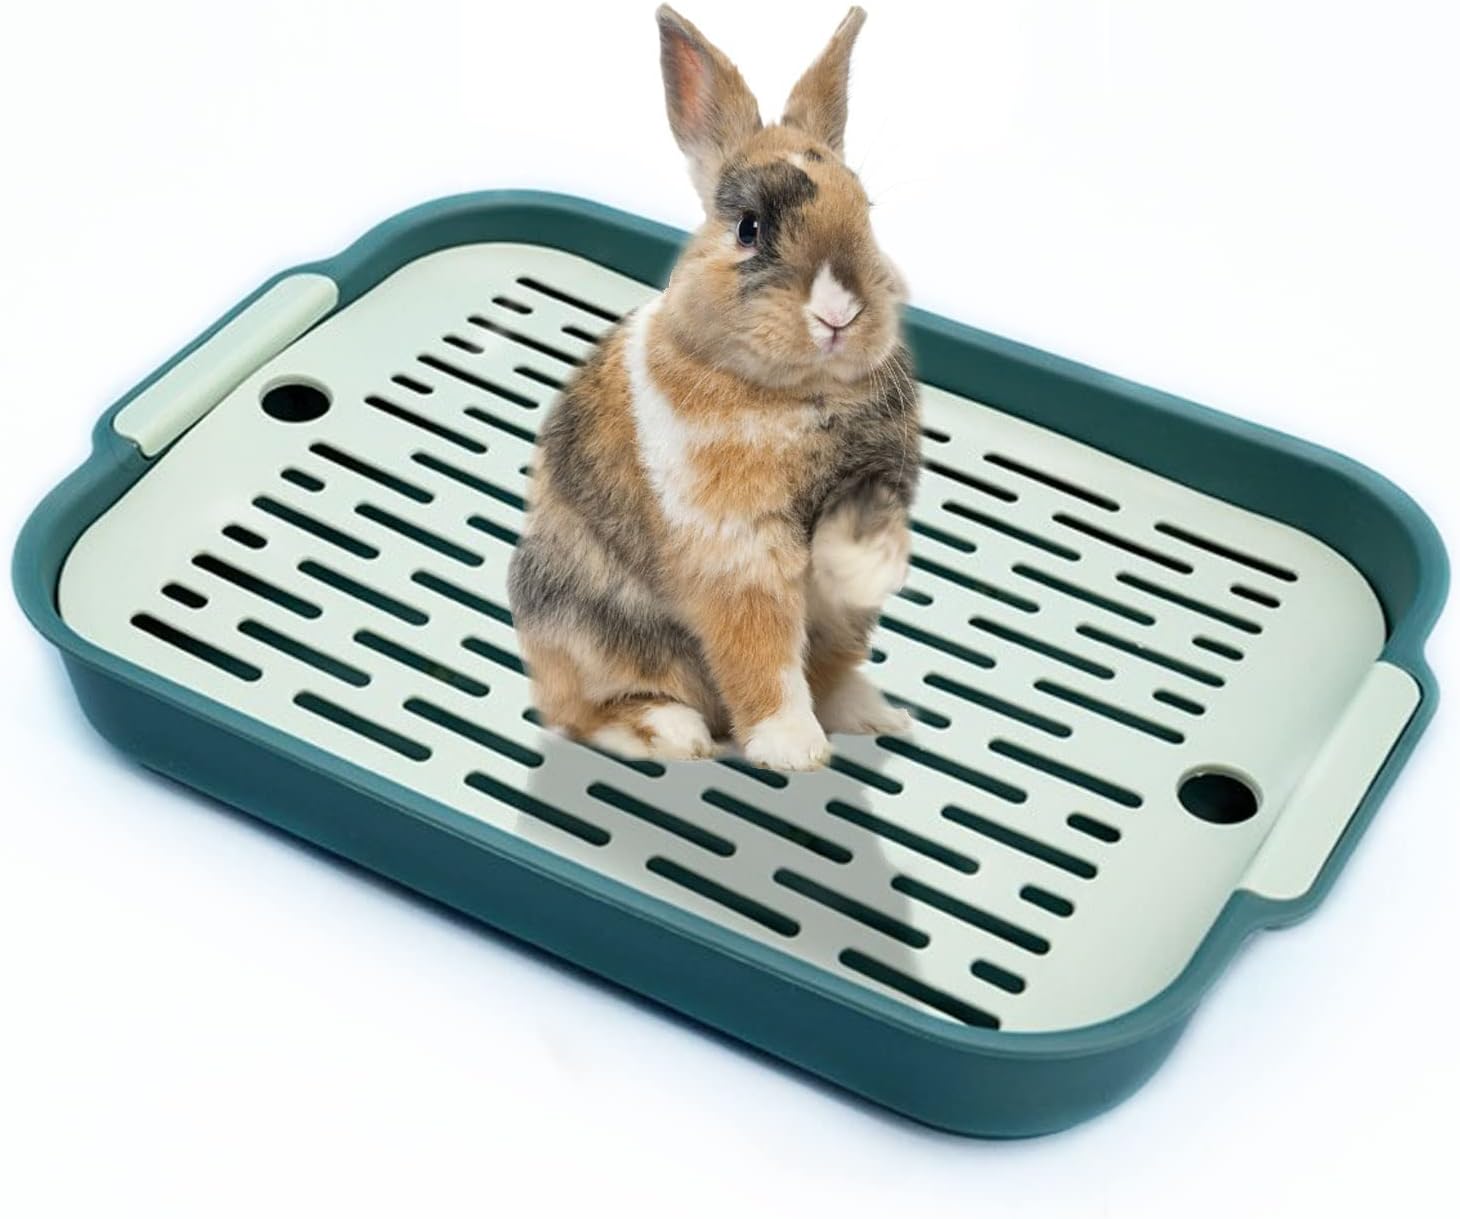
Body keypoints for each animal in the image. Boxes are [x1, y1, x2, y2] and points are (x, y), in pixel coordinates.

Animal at [507, 5, 919, 771]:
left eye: (866, 210)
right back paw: (674, 735)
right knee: (582, 712)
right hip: (586, 629)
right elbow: (765, 659)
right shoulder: (737, 557)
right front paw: (792, 750)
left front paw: (871, 568)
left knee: (834, 672)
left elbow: (854, 553)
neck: (793, 394)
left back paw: (878, 713)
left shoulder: (874, 483)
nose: (839, 314)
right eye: (749, 229)